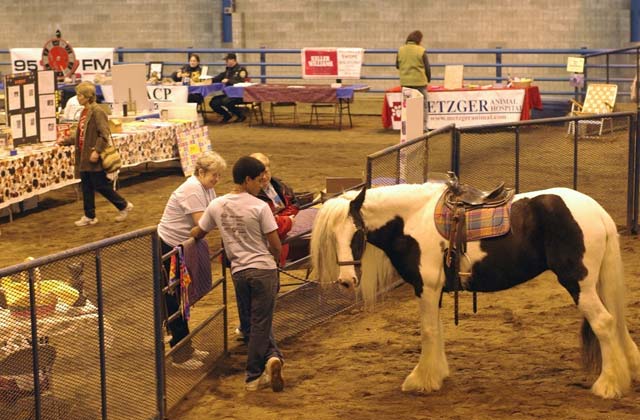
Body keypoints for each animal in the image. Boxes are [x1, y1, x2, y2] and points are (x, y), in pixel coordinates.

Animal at [310, 182, 640, 398]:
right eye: (331, 237)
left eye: (357, 233)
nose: (346, 280)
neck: (412, 220)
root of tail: (596, 211)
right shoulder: (435, 290)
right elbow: (437, 330)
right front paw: (437, 374)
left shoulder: (425, 287)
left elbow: (428, 331)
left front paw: (421, 380)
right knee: (617, 323)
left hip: (578, 283)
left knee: (605, 323)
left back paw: (608, 385)